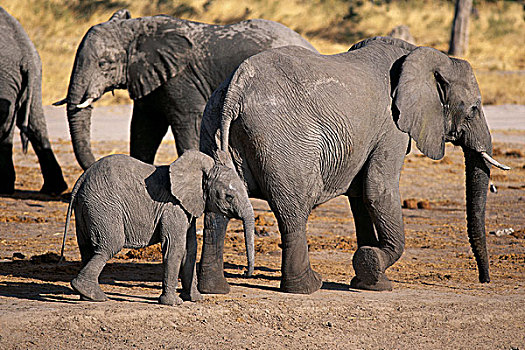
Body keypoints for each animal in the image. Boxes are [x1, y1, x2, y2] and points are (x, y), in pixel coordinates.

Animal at [0, 7, 67, 194]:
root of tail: (26, 56)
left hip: (5, 77)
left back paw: (4, 187)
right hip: (35, 76)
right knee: (35, 123)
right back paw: (54, 189)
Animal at [53, 8, 316, 170]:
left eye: (104, 64)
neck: (137, 28)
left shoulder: (181, 79)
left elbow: (187, 123)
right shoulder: (150, 80)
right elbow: (144, 127)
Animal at [60, 150, 255, 306]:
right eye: (229, 196)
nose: (245, 272)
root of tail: (81, 179)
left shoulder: (186, 208)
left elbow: (190, 249)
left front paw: (195, 299)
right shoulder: (172, 208)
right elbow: (175, 248)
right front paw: (173, 303)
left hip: (86, 207)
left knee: (87, 248)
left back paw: (86, 296)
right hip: (103, 207)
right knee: (110, 245)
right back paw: (95, 296)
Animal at [196, 37, 508, 296]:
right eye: (474, 109)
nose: (484, 280)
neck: (419, 54)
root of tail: (235, 89)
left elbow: (360, 197)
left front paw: (367, 281)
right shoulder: (391, 128)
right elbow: (378, 190)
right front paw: (373, 267)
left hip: (212, 124)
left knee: (218, 208)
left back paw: (214, 289)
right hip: (282, 141)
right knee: (293, 210)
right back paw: (308, 287)